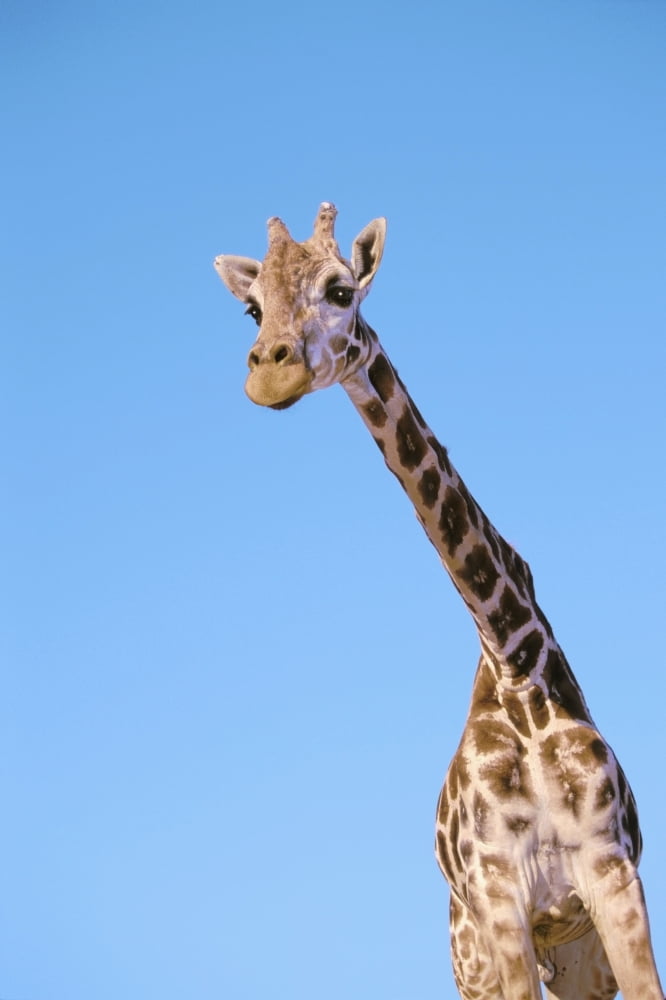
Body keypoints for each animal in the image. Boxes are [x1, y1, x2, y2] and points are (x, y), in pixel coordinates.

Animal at [214, 203, 663, 1000]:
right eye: (252, 307)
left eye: (340, 289)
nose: (270, 371)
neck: (517, 669)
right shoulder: (499, 898)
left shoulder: (614, 876)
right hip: (471, 956)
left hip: (576, 960)